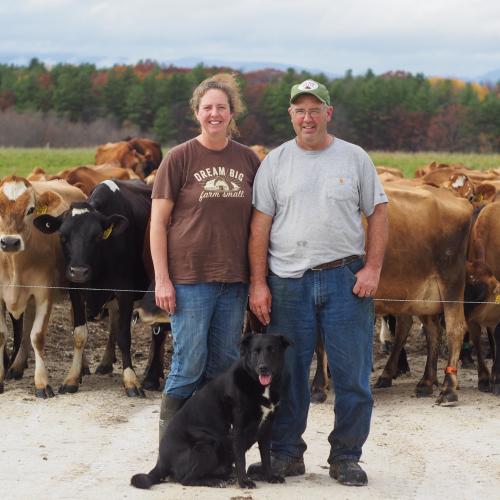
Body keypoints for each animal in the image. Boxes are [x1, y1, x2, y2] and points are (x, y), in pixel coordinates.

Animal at [34, 181, 151, 398]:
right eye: (62, 236)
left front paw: (131, 380)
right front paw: (72, 378)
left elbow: (124, 336)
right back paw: (105, 362)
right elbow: (79, 334)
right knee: (113, 321)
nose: (79, 271)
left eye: (97, 236)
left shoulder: (125, 291)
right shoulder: (75, 290)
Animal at [131, 334, 292, 490]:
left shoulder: (266, 428)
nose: (263, 367)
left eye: (272, 350)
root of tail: (162, 462)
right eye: (255, 352)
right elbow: (241, 460)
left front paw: (270, 476)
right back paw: (214, 482)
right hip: (207, 443)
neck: (260, 386)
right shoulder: (237, 431)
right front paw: (244, 482)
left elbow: (266, 457)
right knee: (186, 479)